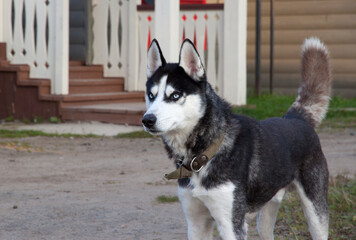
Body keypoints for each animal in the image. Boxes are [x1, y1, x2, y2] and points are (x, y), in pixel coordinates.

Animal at [142, 38, 330, 240]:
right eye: (151, 95)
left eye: (175, 95)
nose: (147, 120)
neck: (203, 154)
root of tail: (296, 117)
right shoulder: (196, 223)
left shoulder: (231, 224)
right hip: (265, 216)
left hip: (316, 213)